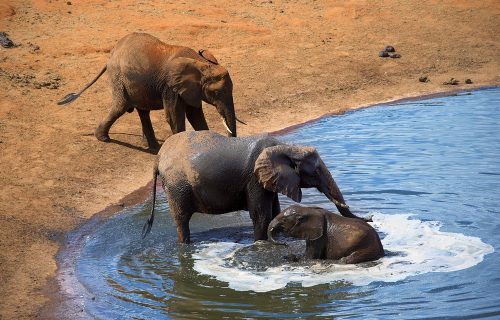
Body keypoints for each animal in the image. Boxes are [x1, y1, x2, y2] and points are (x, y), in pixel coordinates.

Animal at [57, 32, 243, 150]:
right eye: (217, 93)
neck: (202, 64)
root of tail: (112, 55)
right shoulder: (170, 87)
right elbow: (174, 116)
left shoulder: (191, 89)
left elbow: (195, 115)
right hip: (118, 77)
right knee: (120, 107)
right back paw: (104, 138)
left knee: (142, 111)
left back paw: (152, 147)